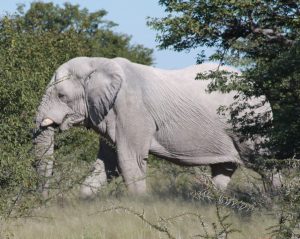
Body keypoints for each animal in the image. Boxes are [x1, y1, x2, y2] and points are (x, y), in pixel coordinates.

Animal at [33, 56, 270, 198]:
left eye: (61, 96)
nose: (46, 202)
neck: (98, 63)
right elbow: (106, 163)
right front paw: (84, 201)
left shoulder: (132, 111)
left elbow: (128, 160)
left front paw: (140, 205)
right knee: (223, 170)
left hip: (253, 123)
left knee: (267, 165)